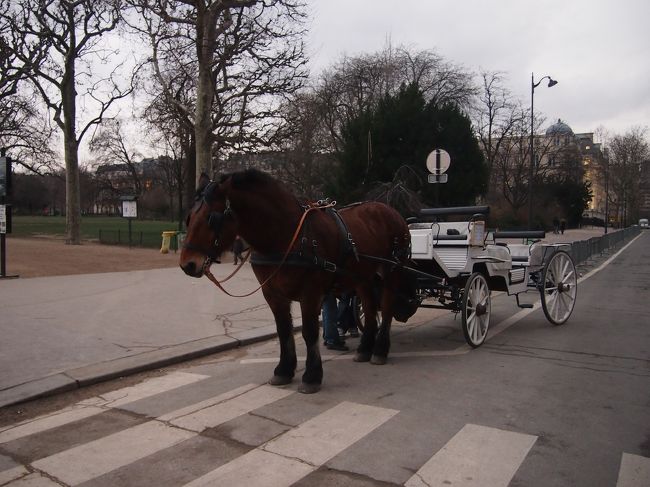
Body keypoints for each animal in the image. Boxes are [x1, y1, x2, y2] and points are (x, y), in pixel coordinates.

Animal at [180, 169, 411, 394]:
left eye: (211, 218)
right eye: (189, 217)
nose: (187, 265)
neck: (286, 236)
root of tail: (389, 210)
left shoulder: (311, 293)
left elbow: (309, 332)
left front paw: (312, 376)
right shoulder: (273, 293)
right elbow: (284, 330)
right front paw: (284, 370)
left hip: (392, 272)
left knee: (387, 308)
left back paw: (380, 350)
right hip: (363, 278)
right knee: (370, 309)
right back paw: (364, 349)